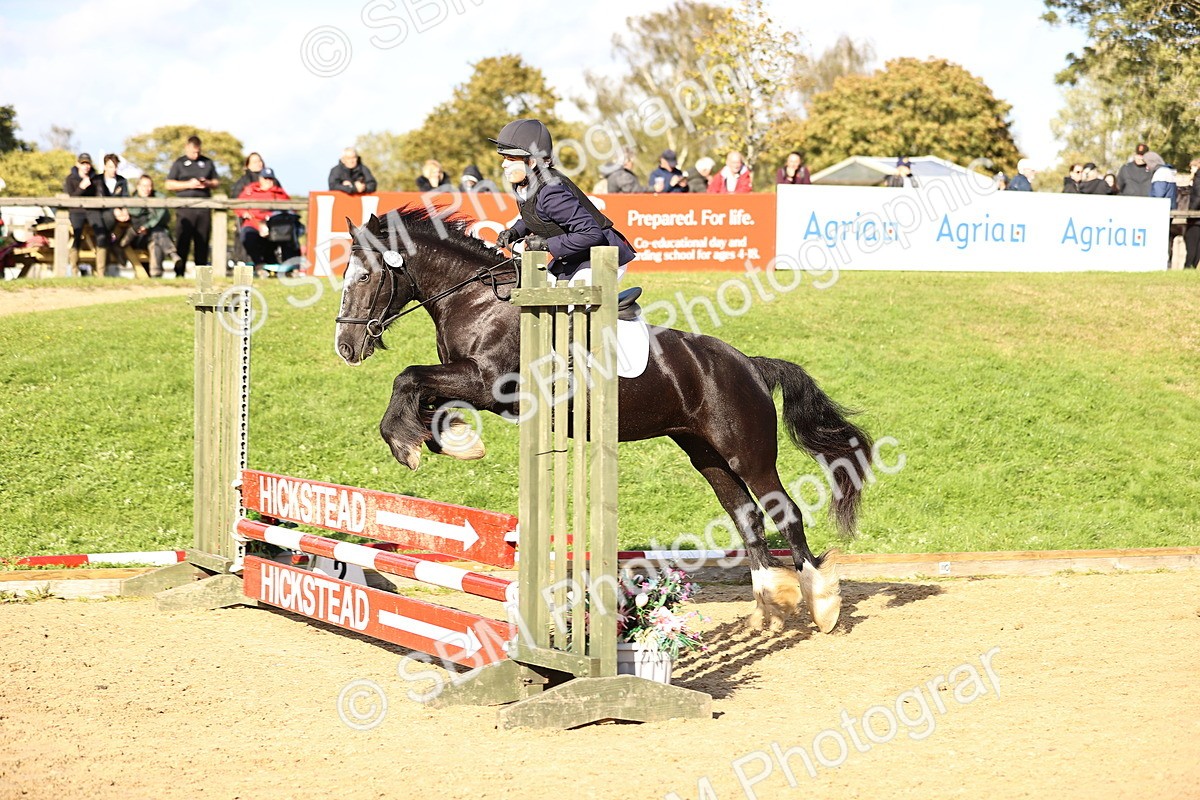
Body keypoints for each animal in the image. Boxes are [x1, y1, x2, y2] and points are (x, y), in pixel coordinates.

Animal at [334, 208, 873, 633]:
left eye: (363, 278)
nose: (345, 347)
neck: (479, 301)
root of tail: (751, 364)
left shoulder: (488, 384)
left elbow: (408, 377)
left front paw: (410, 445)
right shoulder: (469, 383)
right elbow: (421, 393)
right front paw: (451, 440)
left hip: (747, 451)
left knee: (785, 513)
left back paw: (821, 604)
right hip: (705, 454)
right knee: (747, 517)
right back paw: (769, 606)